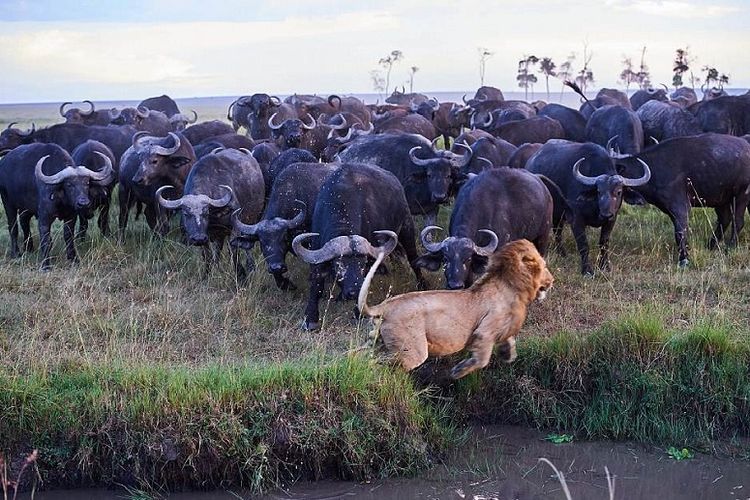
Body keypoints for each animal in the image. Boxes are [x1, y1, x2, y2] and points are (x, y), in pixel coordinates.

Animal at [358, 240, 552, 376]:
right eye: (543, 266)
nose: (552, 280)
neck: (512, 284)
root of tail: (384, 306)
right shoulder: (484, 331)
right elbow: (482, 358)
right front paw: (458, 371)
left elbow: (509, 339)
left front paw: (508, 355)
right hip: (412, 352)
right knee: (378, 362)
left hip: (375, 341)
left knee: (359, 355)